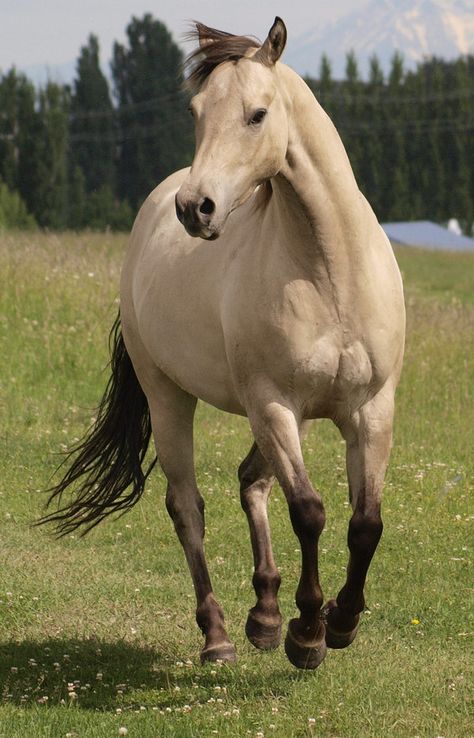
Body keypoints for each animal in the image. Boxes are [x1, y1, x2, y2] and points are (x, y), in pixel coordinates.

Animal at [40, 20, 404, 668]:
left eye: (257, 114)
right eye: (196, 112)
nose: (196, 208)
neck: (330, 271)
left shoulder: (369, 409)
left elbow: (366, 523)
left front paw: (340, 622)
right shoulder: (273, 403)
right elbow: (309, 511)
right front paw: (308, 633)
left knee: (251, 481)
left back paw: (264, 614)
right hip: (171, 397)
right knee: (188, 507)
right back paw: (220, 635)